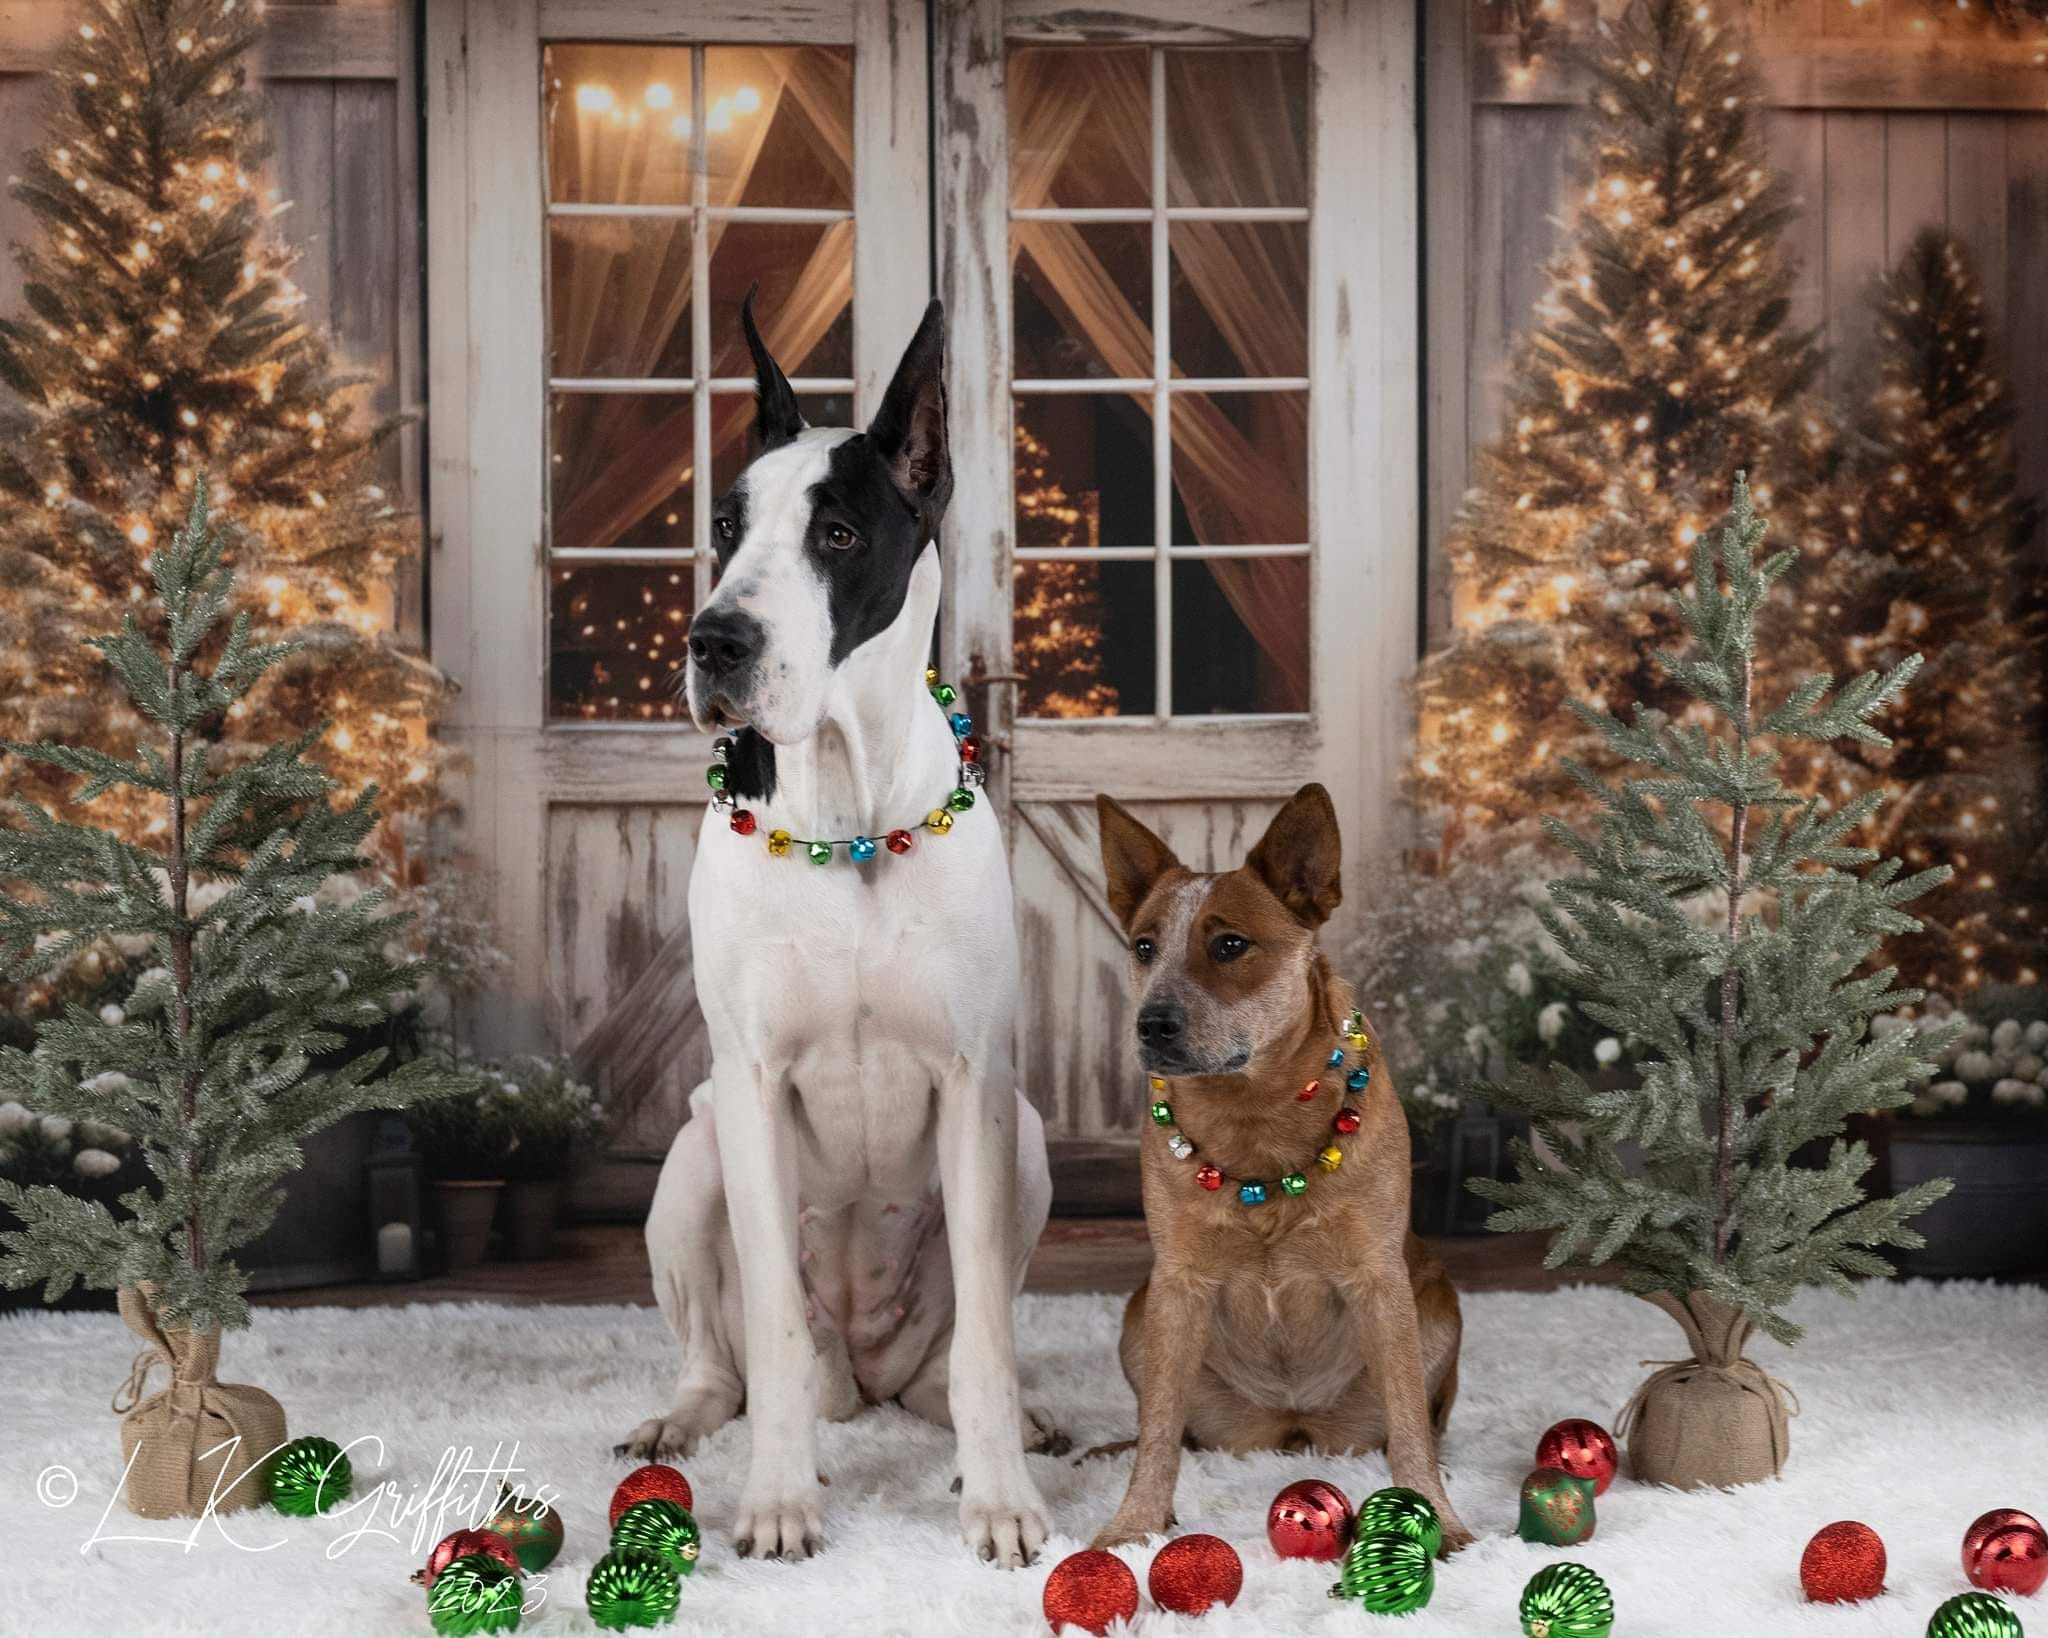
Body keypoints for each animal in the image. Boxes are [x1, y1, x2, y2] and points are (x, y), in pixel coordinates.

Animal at [1089, 786, 1474, 1556]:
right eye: (1144, 947)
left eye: (1230, 944)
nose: (1152, 1023)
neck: (1255, 1118)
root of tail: (1293, 1429)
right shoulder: (1176, 1284)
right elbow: (1158, 1435)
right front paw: (1134, 1524)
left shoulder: (1381, 1281)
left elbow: (1410, 1428)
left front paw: (1438, 1517)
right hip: (1139, 1314)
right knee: (1174, 1429)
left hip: (1438, 1308)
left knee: (1418, 1419)